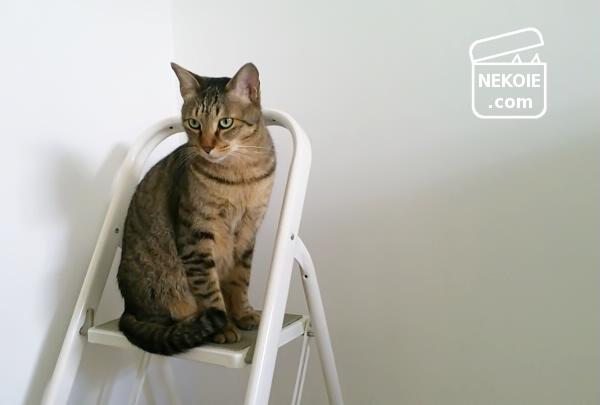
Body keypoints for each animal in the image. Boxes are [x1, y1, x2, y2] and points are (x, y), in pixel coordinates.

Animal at [117, 62, 276, 355]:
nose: (207, 147)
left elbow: (240, 281)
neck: (241, 175)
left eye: (225, 123)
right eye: (194, 123)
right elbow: (210, 293)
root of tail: (126, 309)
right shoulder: (197, 237)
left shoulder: (248, 234)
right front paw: (224, 327)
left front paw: (243, 313)